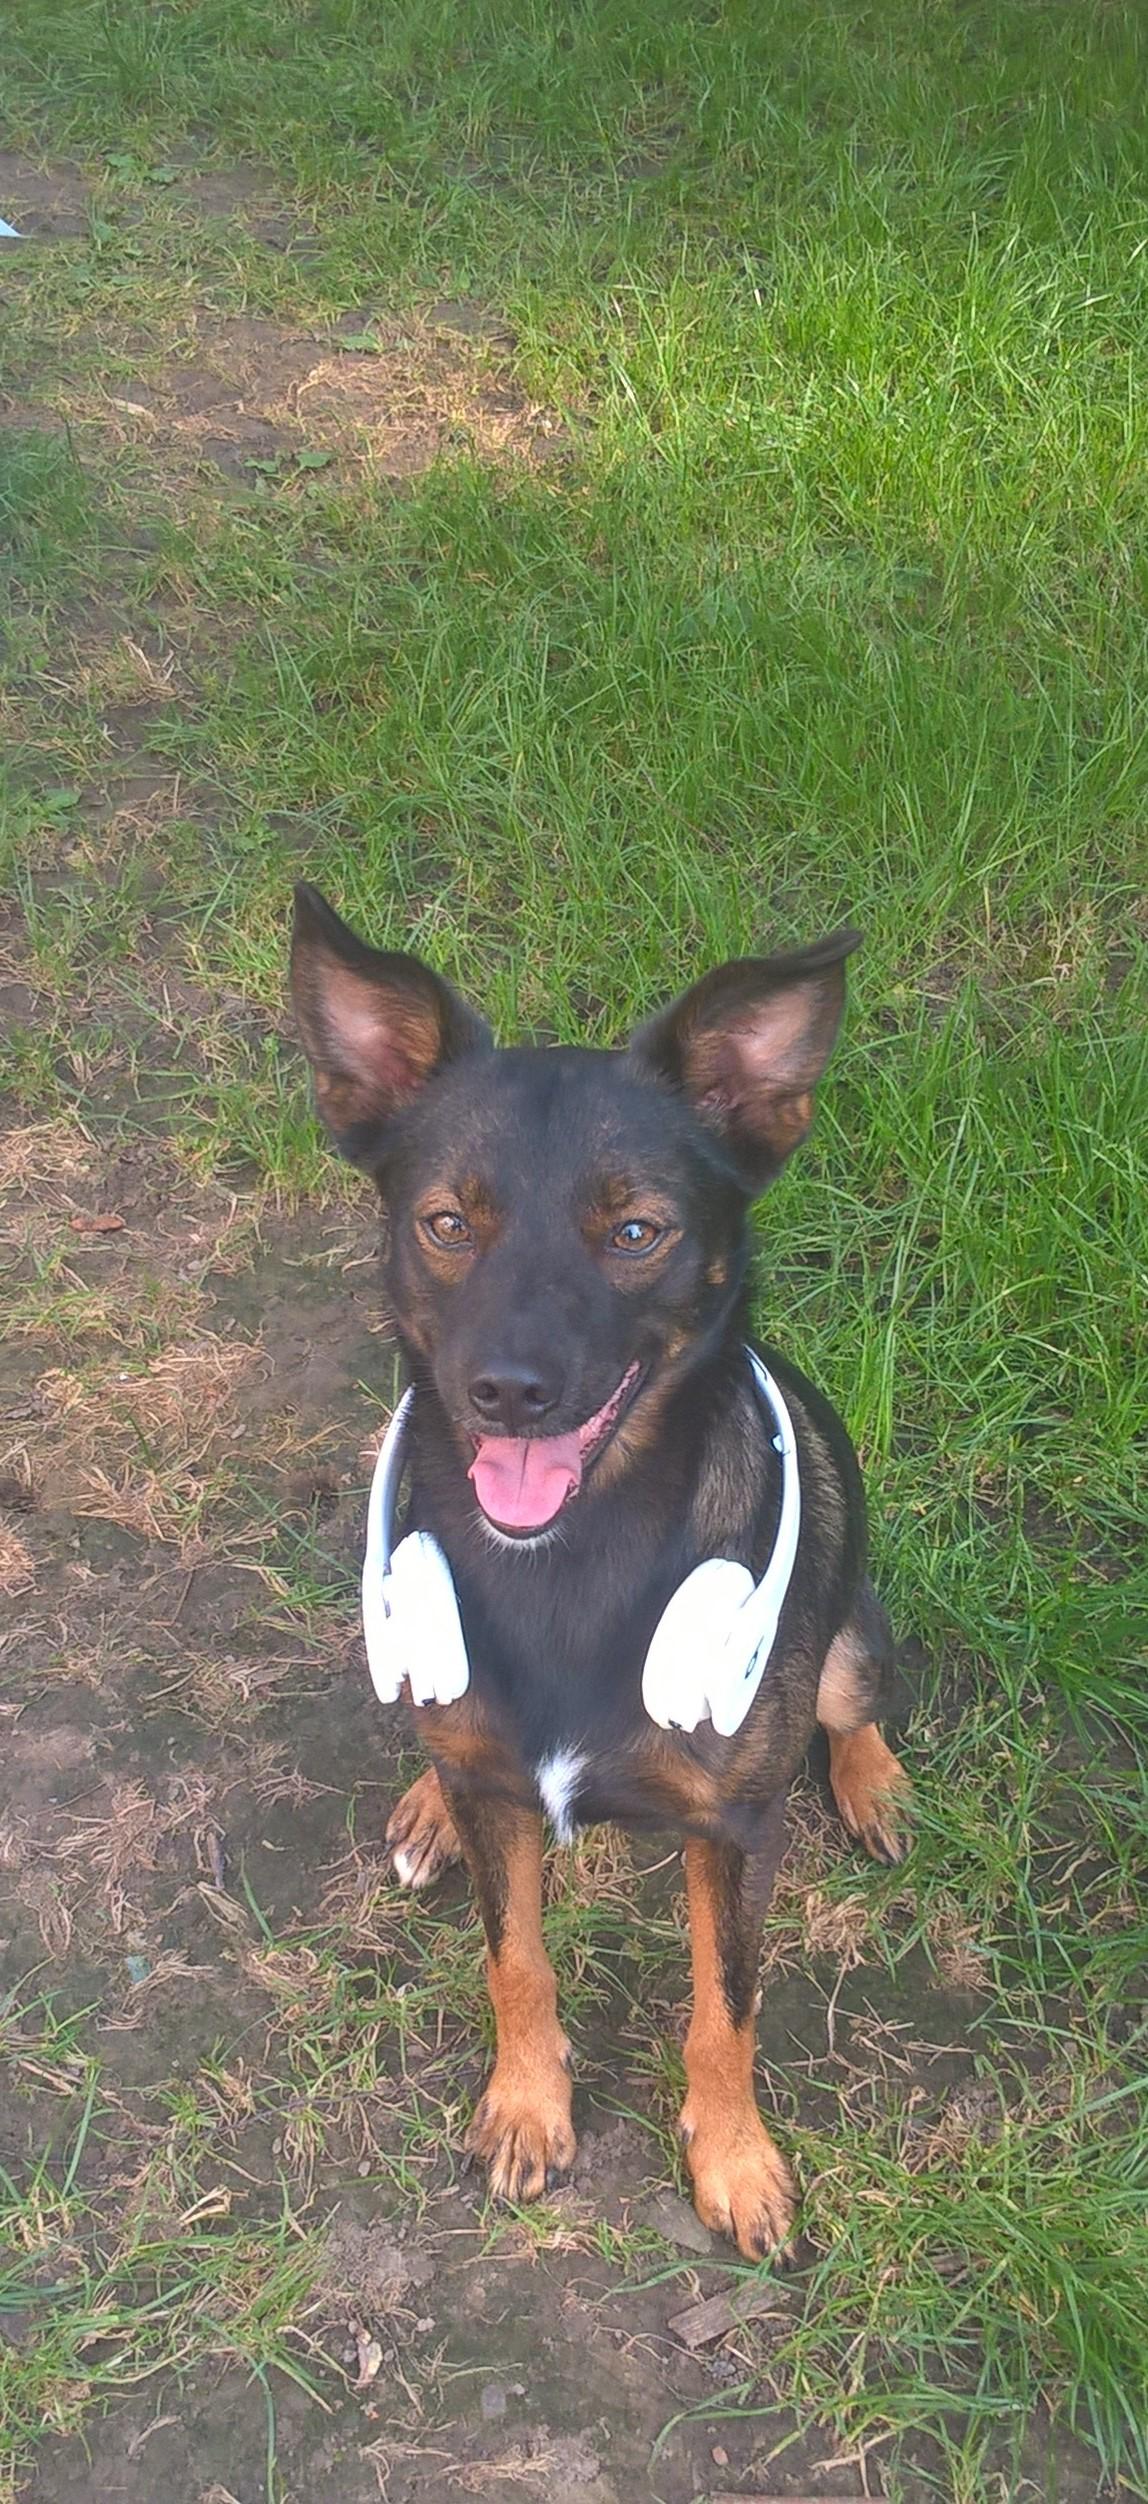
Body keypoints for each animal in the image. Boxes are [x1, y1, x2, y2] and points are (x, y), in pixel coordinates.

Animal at [291, 881, 910, 2257]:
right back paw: (427, 1804)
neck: (567, 1557)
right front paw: (527, 2104)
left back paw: (873, 1781)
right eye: (446, 1222)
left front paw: (733, 2159)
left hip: (846, 1629)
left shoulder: (734, 1827)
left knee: (852, 1700)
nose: (505, 1392)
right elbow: (512, 1955)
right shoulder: (498, 1788)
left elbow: (723, 2006)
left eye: (635, 1231)